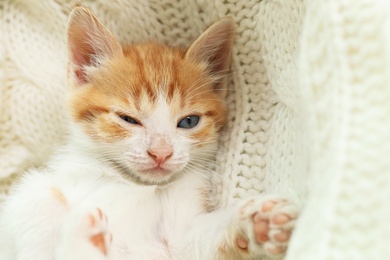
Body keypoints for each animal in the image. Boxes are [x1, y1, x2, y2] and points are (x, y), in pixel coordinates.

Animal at [0, 6, 298, 260]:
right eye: (128, 119)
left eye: (189, 121)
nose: (161, 153)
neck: (136, 184)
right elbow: (39, 197)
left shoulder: (178, 241)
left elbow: (199, 242)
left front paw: (258, 221)